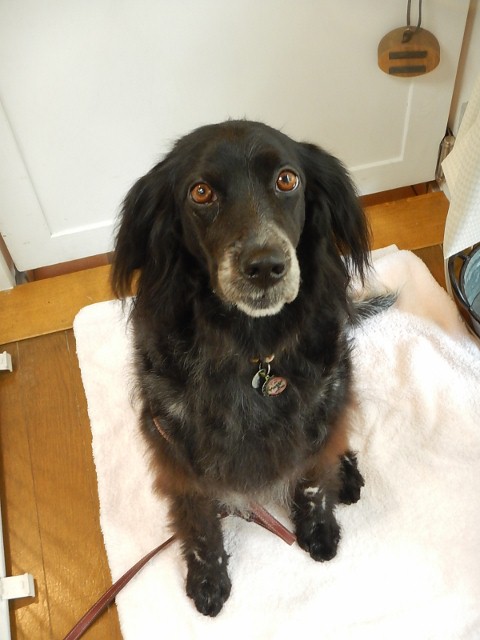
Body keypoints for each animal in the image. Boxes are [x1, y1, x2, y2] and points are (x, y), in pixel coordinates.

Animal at [112, 120, 387, 617]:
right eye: (201, 192)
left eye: (287, 179)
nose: (266, 266)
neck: (253, 349)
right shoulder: (176, 449)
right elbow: (199, 523)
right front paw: (208, 579)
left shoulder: (319, 410)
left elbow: (314, 480)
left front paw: (318, 530)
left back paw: (348, 475)